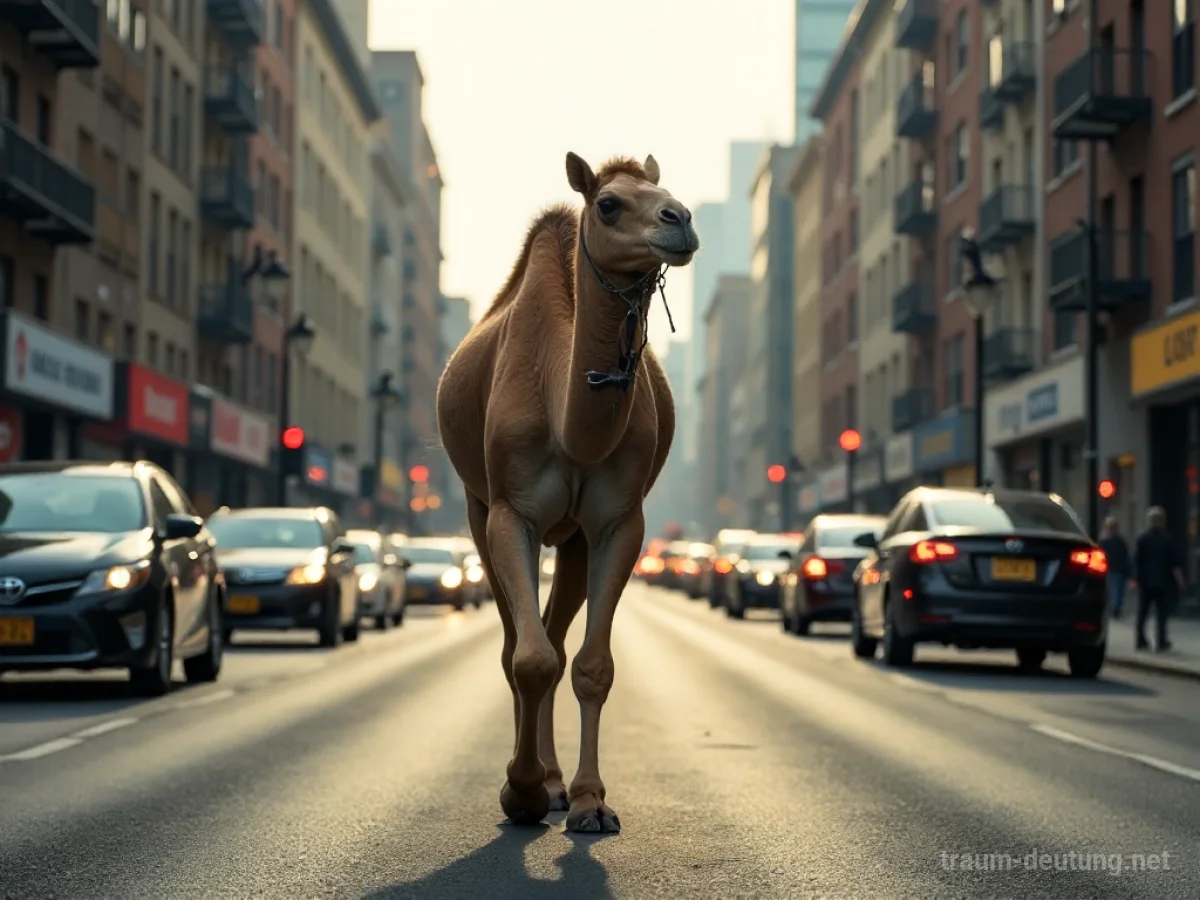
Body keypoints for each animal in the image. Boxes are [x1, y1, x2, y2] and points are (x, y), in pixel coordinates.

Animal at [435, 152, 698, 833]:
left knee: (554, 639)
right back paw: (535, 785)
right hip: (478, 512)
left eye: (666, 190)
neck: (564, 414)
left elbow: (589, 665)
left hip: (572, 540)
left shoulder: (616, 523)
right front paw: (520, 792)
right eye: (608, 203)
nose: (681, 220)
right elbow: (525, 660)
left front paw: (587, 800)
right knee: (519, 646)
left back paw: (557, 785)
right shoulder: (511, 512)